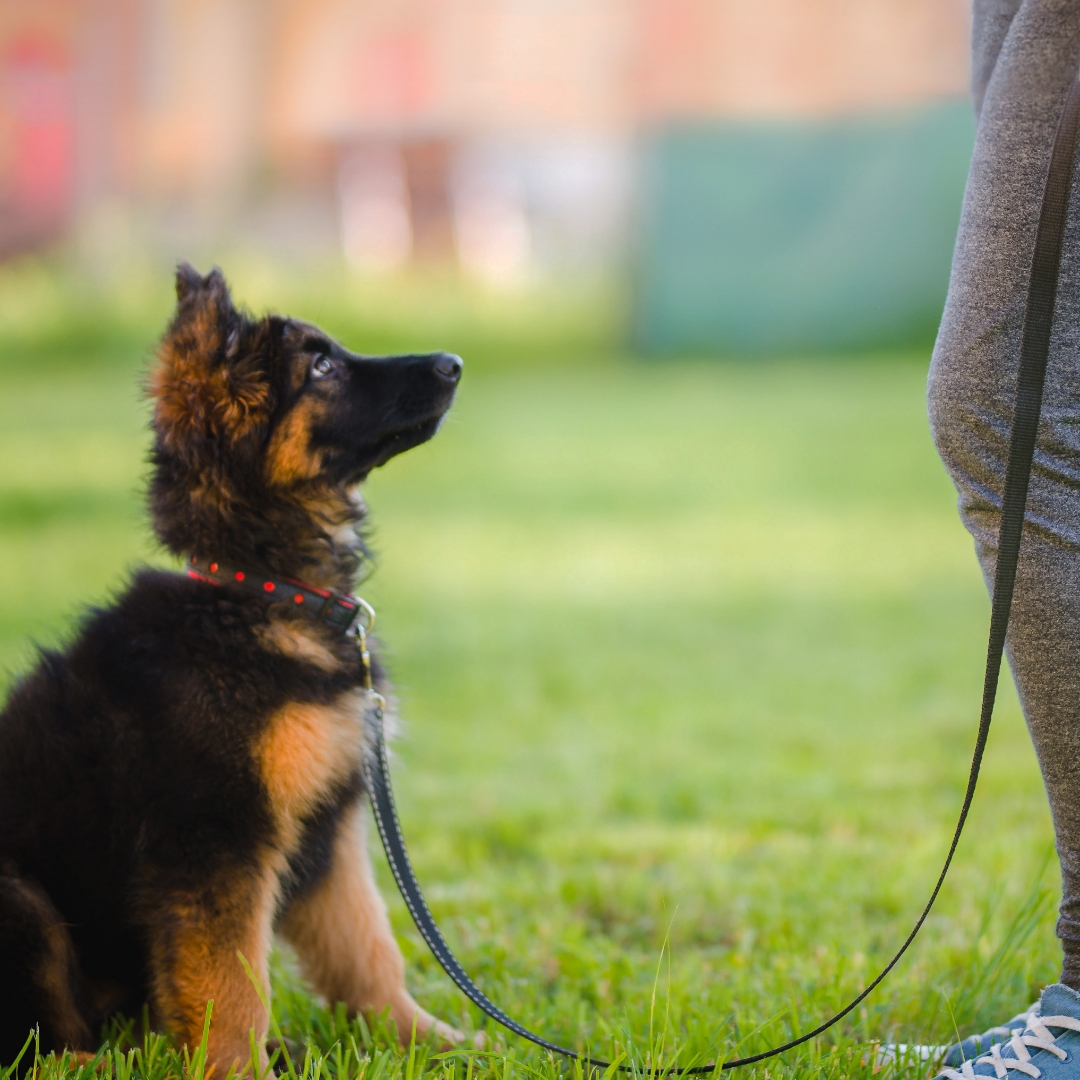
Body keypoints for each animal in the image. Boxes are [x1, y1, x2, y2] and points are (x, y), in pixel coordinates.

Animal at [0, 263, 464, 1071]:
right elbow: (230, 987)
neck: (260, 593)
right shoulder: (214, 838)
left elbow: (367, 948)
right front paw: (239, 1072)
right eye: (320, 368)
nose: (454, 364)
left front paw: (426, 1040)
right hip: (17, 901)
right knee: (40, 1047)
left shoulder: (330, 827)